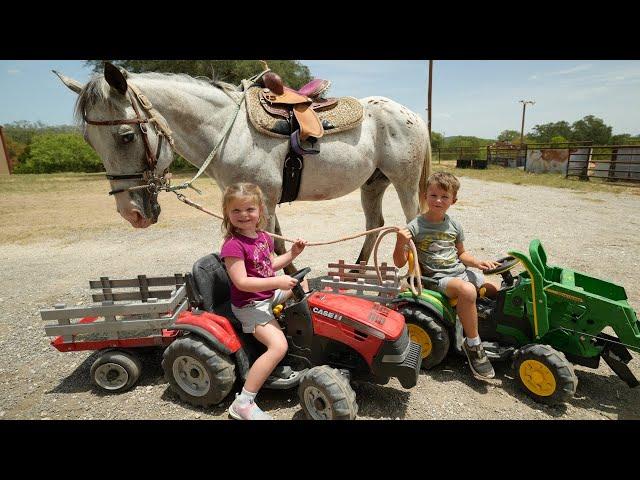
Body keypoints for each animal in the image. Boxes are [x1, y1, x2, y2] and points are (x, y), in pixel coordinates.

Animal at [55, 62, 430, 268]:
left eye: (126, 136)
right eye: (89, 141)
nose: (130, 213)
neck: (228, 130)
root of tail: (410, 113)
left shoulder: (265, 200)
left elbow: (269, 247)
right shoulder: (259, 199)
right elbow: (276, 244)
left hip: (404, 181)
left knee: (411, 221)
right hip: (373, 183)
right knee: (374, 224)